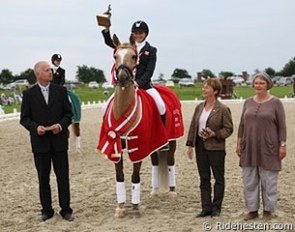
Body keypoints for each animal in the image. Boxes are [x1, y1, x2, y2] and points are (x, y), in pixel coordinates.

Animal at [98, 34, 184, 218]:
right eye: (115, 55)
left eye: (134, 56)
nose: (123, 78)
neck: (123, 111)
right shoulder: (116, 148)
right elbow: (120, 176)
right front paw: (120, 207)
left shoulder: (138, 147)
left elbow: (135, 177)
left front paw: (135, 208)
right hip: (155, 142)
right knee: (155, 163)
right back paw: (155, 191)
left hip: (171, 140)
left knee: (170, 161)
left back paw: (172, 191)